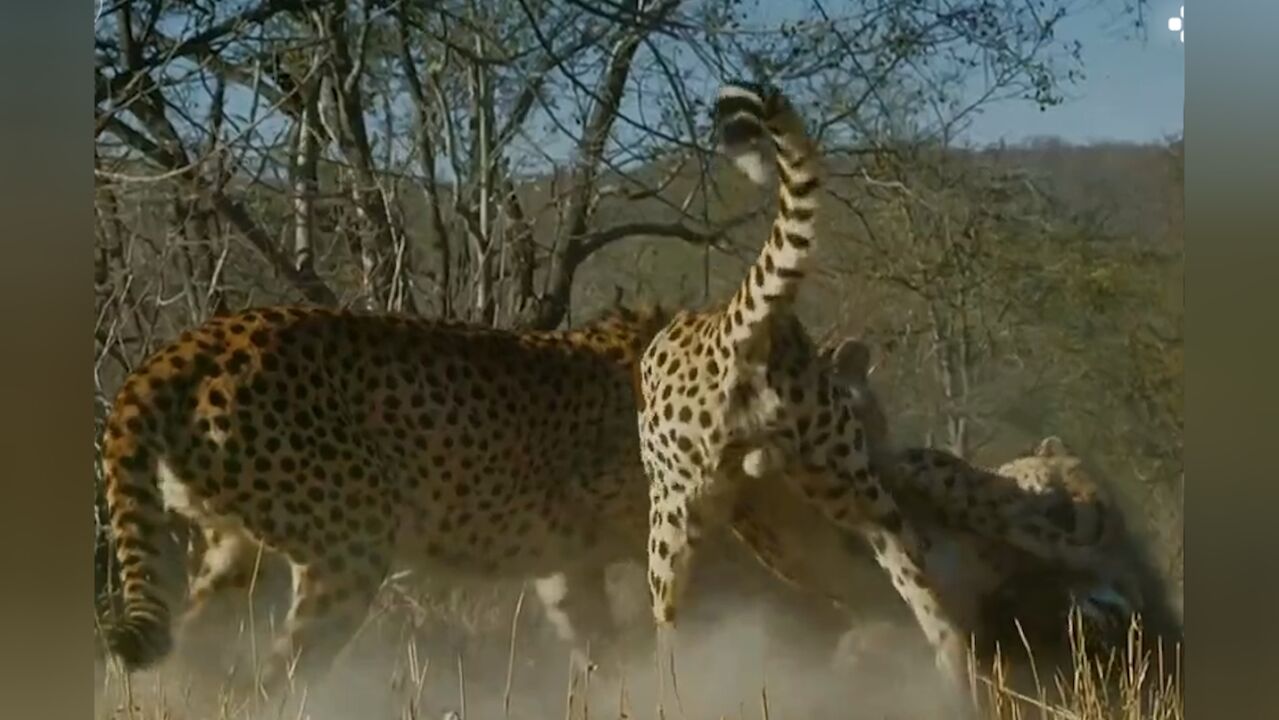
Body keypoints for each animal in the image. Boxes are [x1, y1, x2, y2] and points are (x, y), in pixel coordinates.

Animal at [98, 304, 670, 690]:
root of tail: (200, 338)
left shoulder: (569, 563)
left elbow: (599, 643)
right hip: (352, 548)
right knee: (276, 680)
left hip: (238, 551)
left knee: (192, 655)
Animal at [639, 80, 977, 700]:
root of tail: (757, 333)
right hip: (855, 490)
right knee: (923, 591)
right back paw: (950, 681)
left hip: (674, 511)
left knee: (668, 615)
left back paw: (668, 685)